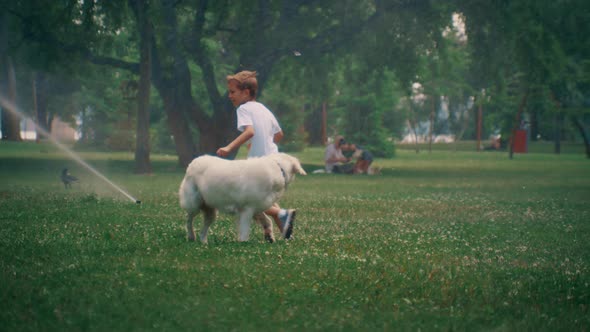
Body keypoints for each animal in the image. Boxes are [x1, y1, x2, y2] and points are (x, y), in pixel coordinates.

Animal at [178, 153, 308, 244]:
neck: (279, 169)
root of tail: (194, 161)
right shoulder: (247, 209)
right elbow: (245, 230)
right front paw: (243, 243)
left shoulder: (257, 208)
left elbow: (267, 221)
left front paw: (269, 236)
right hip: (194, 204)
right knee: (188, 220)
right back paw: (191, 236)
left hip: (211, 211)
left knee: (204, 227)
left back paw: (203, 242)